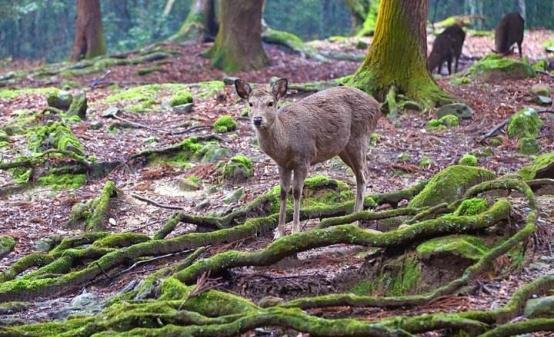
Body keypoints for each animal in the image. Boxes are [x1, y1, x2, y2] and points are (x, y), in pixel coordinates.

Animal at [233, 78, 380, 236]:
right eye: (250, 103)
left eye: (270, 103)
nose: (257, 120)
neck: (286, 143)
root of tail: (377, 106)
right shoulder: (282, 164)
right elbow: (283, 192)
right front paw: (279, 232)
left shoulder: (304, 158)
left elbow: (297, 192)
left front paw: (295, 230)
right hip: (344, 149)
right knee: (361, 174)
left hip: (359, 137)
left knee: (363, 175)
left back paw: (355, 220)